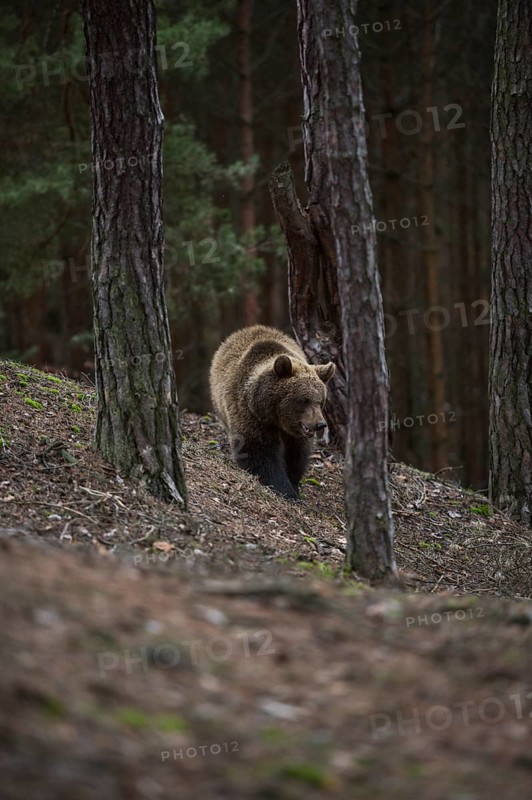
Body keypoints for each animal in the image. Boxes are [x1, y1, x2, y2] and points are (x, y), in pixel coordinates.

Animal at [209, 325, 335, 500]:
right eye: (304, 400)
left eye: (320, 401)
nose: (320, 424)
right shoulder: (250, 415)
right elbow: (259, 453)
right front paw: (286, 490)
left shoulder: (297, 434)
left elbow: (297, 455)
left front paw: (294, 484)